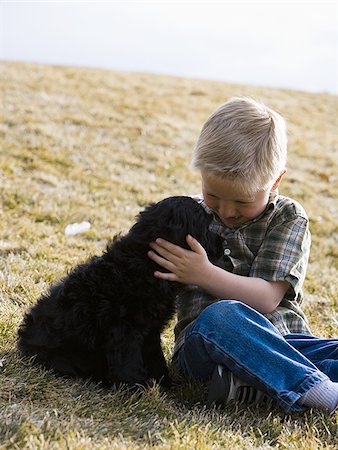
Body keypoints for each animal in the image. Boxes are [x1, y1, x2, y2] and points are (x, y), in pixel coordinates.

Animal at [17, 197, 222, 386]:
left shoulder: (150, 330)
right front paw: (138, 390)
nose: (223, 243)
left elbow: (156, 358)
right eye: (207, 226)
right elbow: (130, 362)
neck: (146, 262)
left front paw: (165, 386)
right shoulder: (125, 330)